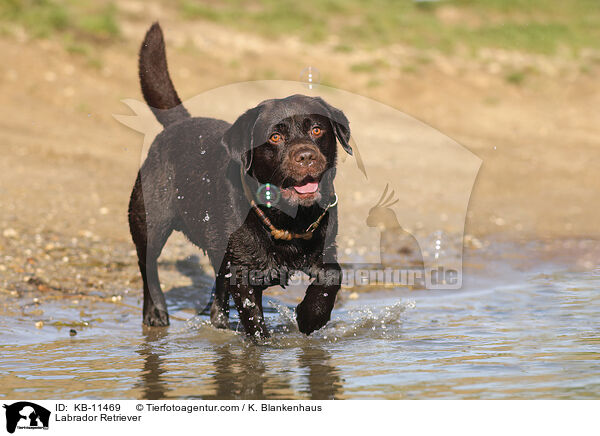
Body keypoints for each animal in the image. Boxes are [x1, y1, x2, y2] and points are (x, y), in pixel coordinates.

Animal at [126, 23, 352, 338]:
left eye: (317, 130)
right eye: (275, 137)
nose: (306, 155)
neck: (286, 219)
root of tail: (177, 124)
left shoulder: (325, 247)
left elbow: (332, 276)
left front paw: (311, 317)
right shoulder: (243, 276)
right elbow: (255, 323)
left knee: (217, 295)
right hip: (150, 220)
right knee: (148, 265)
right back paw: (156, 312)